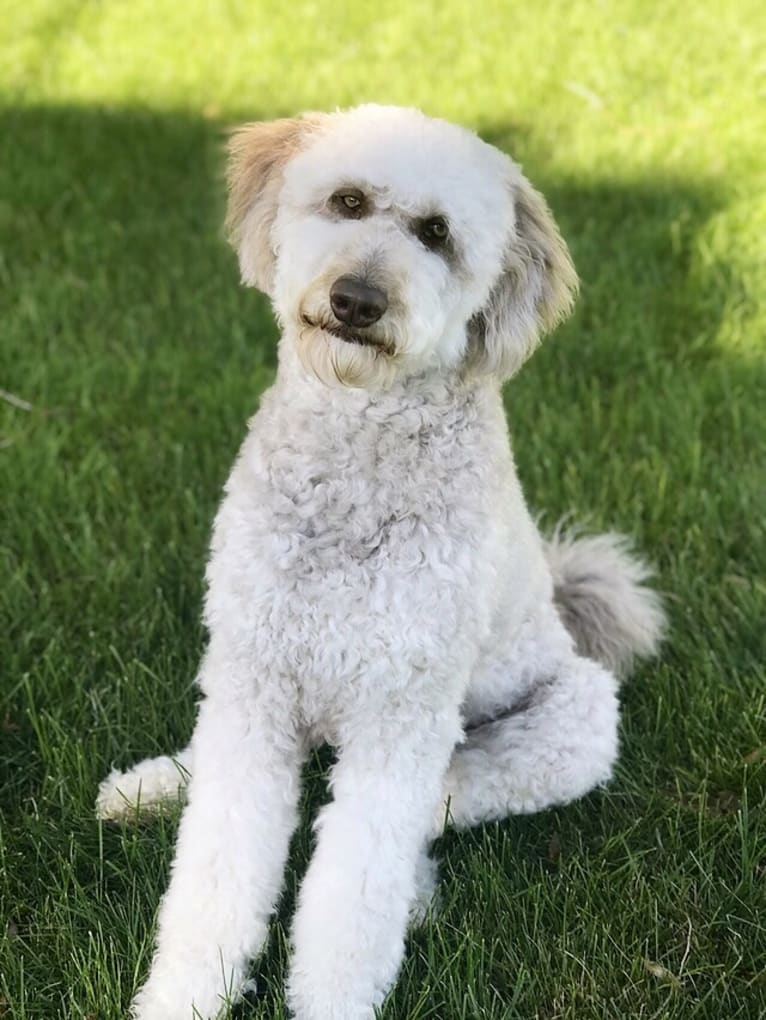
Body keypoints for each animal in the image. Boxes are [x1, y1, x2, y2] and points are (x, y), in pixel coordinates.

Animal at [97, 105, 665, 1020]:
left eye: (437, 234)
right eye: (349, 200)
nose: (357, 300)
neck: (353, 456)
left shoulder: (400, 716)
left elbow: (353, 895)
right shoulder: (255, 679)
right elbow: (216, 867)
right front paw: (184, 992)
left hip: (572, 720)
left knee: (438, 805)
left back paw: (417, 889)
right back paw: (152, 785)